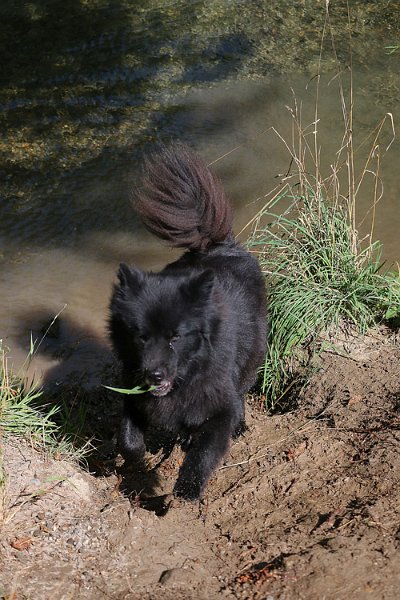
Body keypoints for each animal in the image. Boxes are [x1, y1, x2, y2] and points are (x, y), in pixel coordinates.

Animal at [108, 146, 266, 502]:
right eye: (141, 337)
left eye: (175, 337)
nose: (154, 374)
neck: (186, 377)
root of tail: (219, 245)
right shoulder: (134, 393)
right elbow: (128, 438)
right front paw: (140, 460)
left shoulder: (218, 403)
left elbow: (205, 450)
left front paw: (187, 488)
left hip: (250, 360)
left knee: (242, 392)